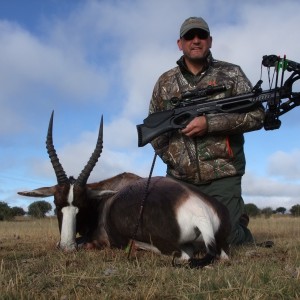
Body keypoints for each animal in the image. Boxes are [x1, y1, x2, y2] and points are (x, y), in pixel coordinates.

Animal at [18, 111, 230, 268]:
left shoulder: (97, 240)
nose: (67, 247)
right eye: (56, 203)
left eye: (83, 204)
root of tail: (199, 210)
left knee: (183, 256)